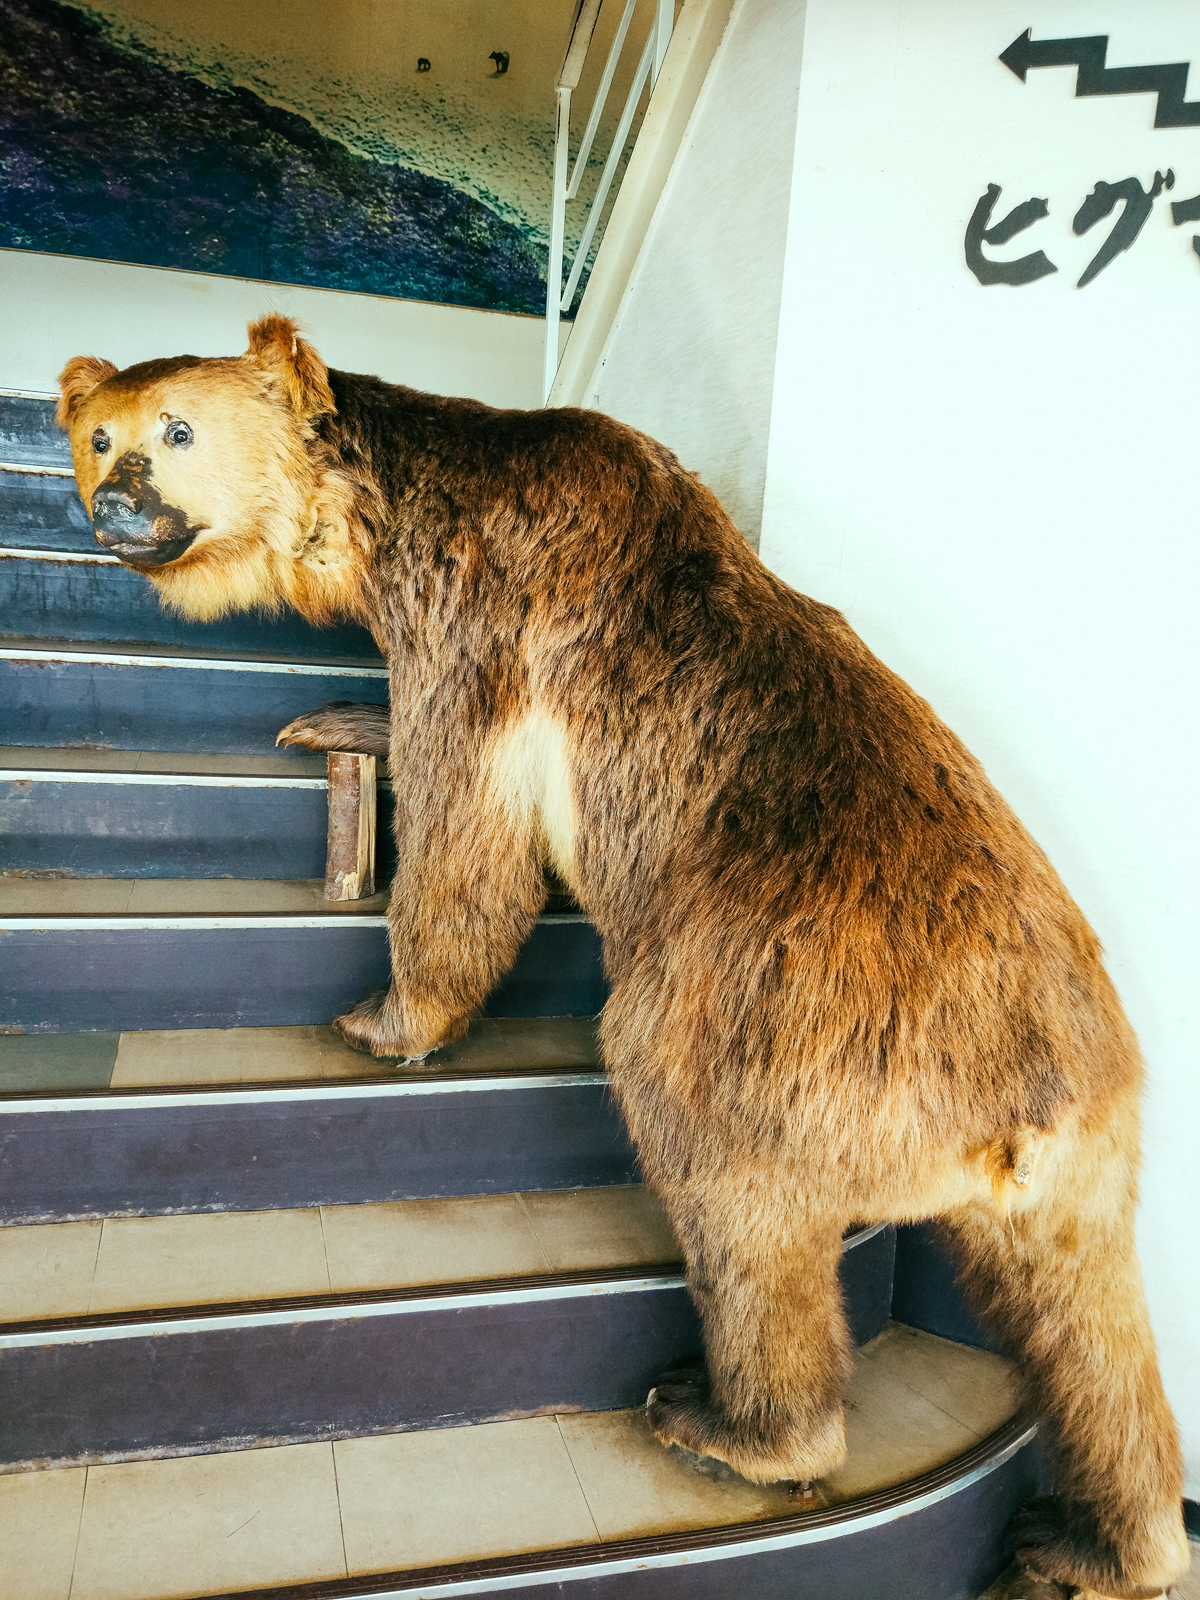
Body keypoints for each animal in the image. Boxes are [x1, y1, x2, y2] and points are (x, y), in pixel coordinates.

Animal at [58, 318, 1196, 1593]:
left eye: (176, 430)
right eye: (98, 432)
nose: (113, 505)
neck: (387, 508)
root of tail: (1016, 1111)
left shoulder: (487, 604)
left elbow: (469, 824)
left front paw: (383, 1016)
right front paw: (336, 718)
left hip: (779, 1026)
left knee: (724, 1181)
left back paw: (726, 1424)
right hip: (1092, 1158)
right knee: (1097, 1334)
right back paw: (1100, 1541)